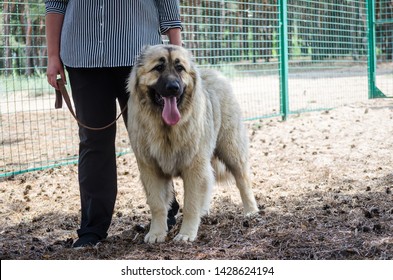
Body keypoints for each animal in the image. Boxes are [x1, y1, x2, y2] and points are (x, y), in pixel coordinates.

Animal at [127, 44, 258, 243]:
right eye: (159, 67)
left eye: (180, 68)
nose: (173, 87)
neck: (166, 129)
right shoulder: (150, 170)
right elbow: (157, 205)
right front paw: (157, 232)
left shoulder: (193, 168)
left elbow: (190, 204)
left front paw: (186, 233)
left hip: (231, 149)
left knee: (243, 179)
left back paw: (251, 210)